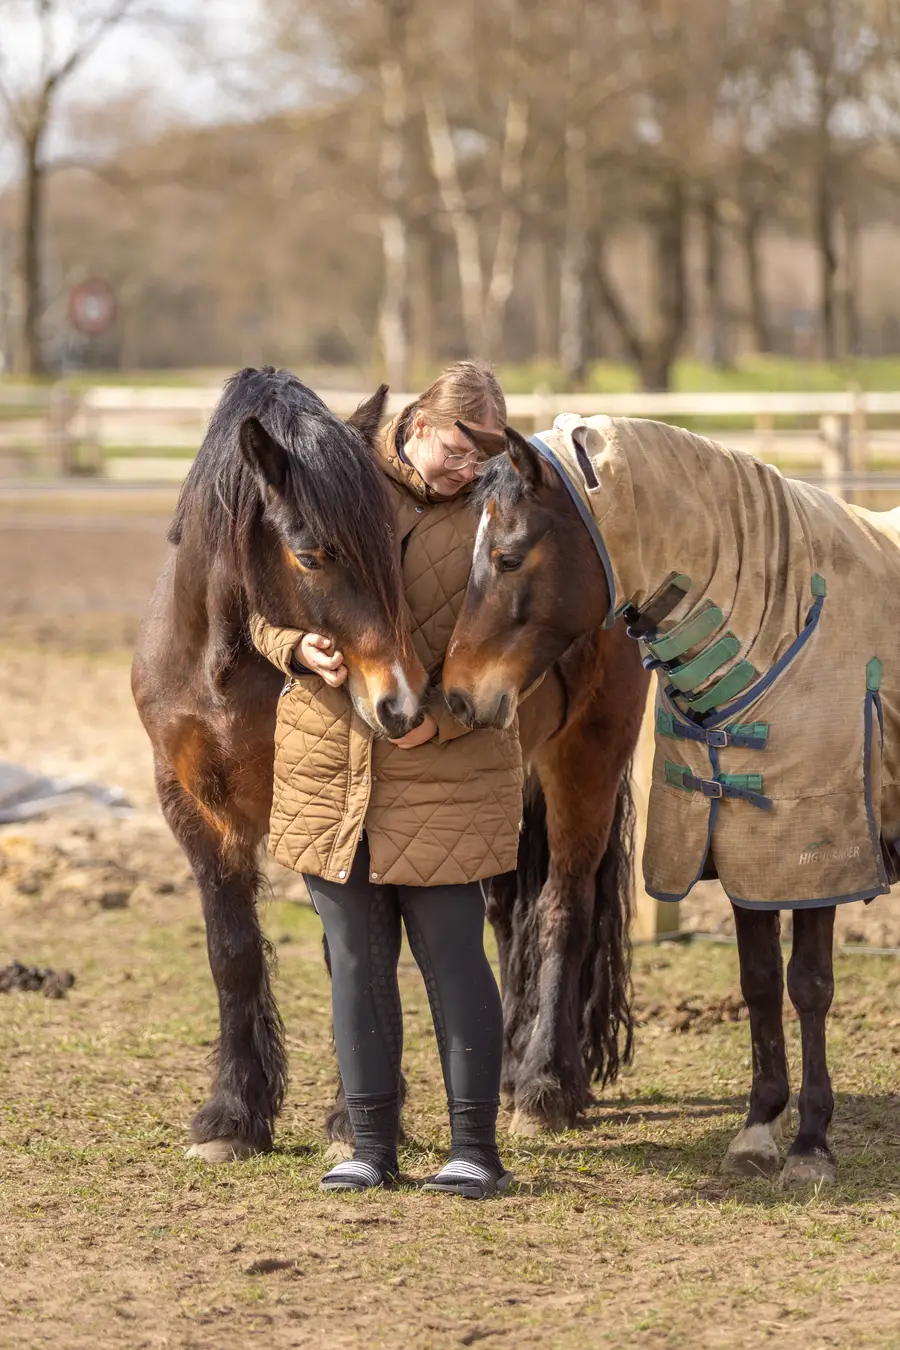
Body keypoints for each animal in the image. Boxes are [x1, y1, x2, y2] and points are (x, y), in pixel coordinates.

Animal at [132, 367, 429, 1161]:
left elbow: (354, 958)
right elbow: (232, 953)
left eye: (394, 546)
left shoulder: (335, 820)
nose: (400, 705)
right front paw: (234, 1114)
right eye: (312, 554)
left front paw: (355, 1121)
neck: (223, 670)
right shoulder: (191, 806)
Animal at [444, 414, 900, 1185]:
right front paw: (758, 1128)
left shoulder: (816, 862)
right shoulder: (743, 851)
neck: (784, 629)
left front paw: (810, 1145)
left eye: (505, 558)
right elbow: (758, 982)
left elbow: (808, 985)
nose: (454, 693)